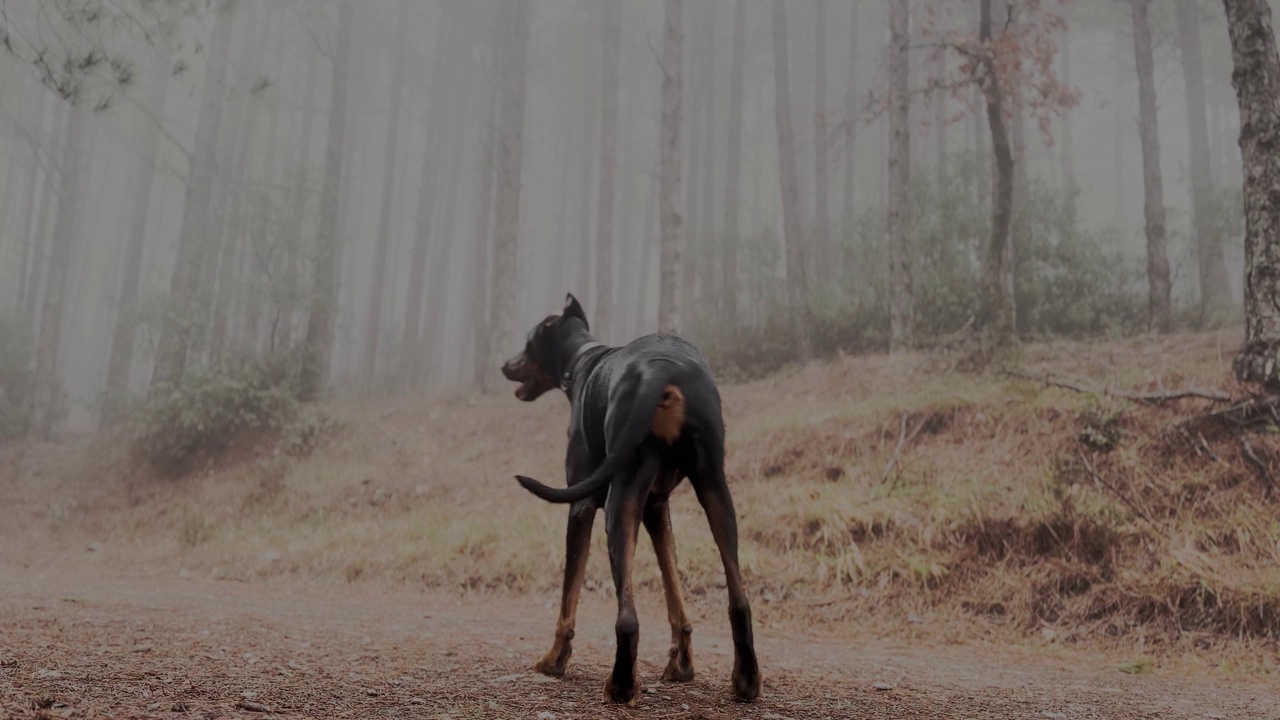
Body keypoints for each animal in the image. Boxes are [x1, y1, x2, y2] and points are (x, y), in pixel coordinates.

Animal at [499, 294, 757, 702]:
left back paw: (620, 683)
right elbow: (674, 589)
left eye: (527, 343)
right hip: (716, 490)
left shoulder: (581, 507)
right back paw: (746, 679)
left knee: (627, 618)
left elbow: (568, 596)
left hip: (619, 500)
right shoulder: (656, 508)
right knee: (740, 600)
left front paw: (554, 660)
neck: (584, 362)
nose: (505, 365)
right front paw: (681, 665)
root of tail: (660, 373)